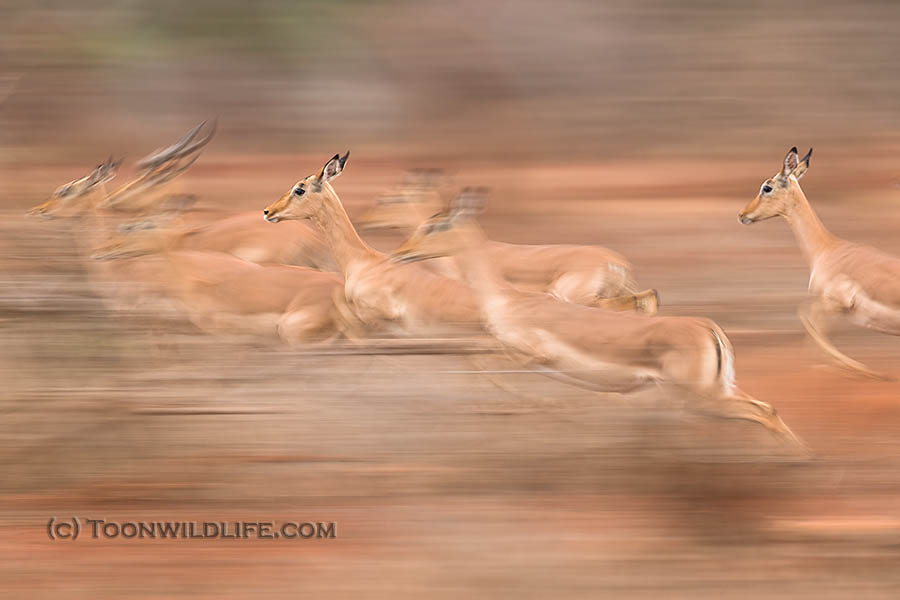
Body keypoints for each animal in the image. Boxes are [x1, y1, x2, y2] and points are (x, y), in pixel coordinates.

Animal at [389, 189, 805, 450]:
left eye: (436, 225)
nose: (401, 252)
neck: (509, 298)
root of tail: (708, 328)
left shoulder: (529, 355)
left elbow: (480, 362)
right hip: (716, 390)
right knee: (767, 409)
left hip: (703, 397)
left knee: (761, 412)